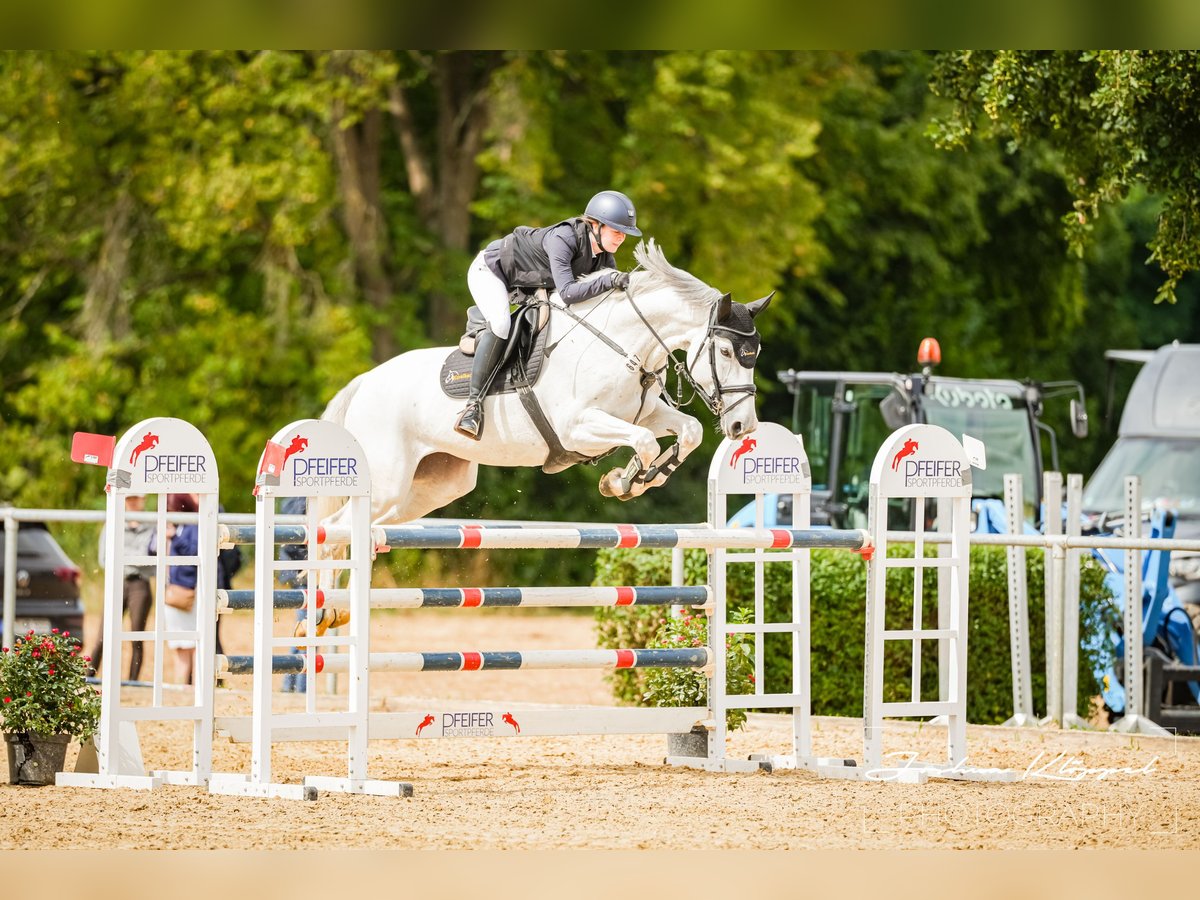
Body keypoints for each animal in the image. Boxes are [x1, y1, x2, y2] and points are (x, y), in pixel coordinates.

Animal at [316, 241, 768, 535]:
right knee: (333, 530)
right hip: (387, 481)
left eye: (756, 354)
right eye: (725, 351)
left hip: (429, 487)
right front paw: (625, 480)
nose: (743, 427)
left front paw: (632, 480)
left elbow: (687, 431)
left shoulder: (643, 413)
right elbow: (644, 442)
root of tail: (365, 382)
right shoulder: (578, 428)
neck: (622, 342)